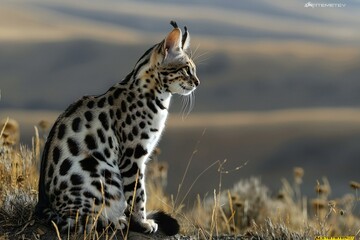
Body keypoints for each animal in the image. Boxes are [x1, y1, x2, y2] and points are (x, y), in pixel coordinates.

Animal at [35, 20, 200, 234]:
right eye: (187, 69)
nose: (197, 82)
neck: (158, 97)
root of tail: (43, 207)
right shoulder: (133, 156)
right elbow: (138, 194)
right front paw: (141, 222)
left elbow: (138, 193)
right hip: (102, 177)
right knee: (80, 222)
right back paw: (116, 221)